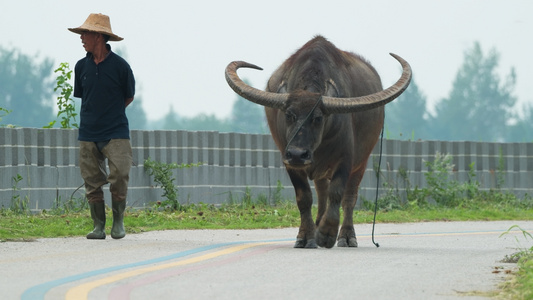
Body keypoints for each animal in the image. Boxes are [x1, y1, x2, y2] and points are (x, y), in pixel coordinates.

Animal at [224, 35, 412, 248]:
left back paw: (347, 236)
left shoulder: (346, 159)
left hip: (361, 162)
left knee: (349, 197)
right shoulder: (289, 162)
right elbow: (304, 197)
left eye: (318, 118)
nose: (298, 154)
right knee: (322, 192)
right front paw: (306, 236)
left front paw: (327, 233)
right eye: (289, 115)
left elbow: (337, 193)